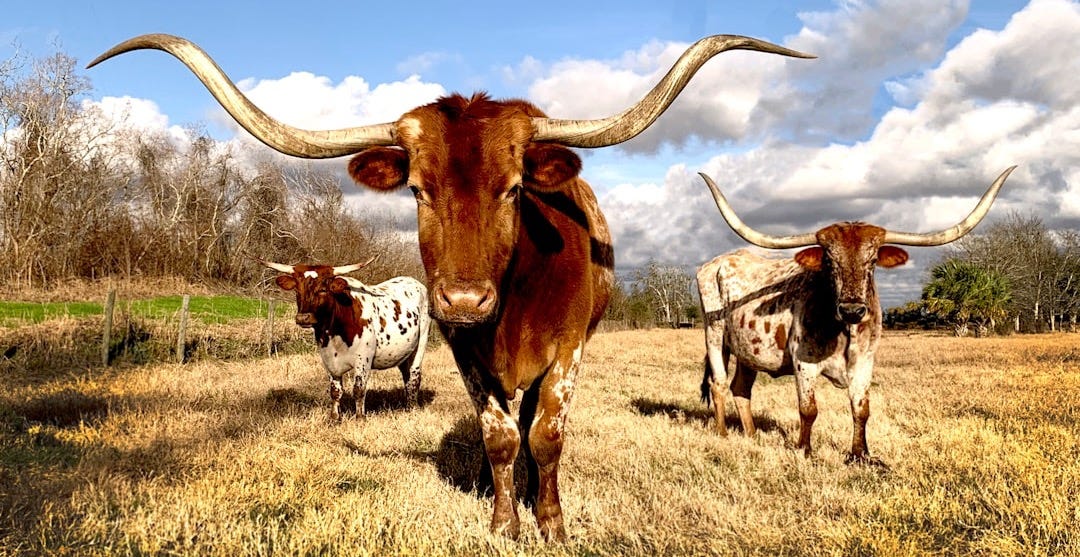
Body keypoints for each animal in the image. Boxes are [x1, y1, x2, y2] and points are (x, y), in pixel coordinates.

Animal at [261, 258, 430, 421]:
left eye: (323, 289)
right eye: (297, 290)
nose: (303, 318)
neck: (334, 333)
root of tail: (414, 281)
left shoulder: (363, 359)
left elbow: (358, 389)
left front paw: (360, 418)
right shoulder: (328, 360)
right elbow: (335, 391)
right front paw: (335, 418)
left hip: (421, 342)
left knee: (414, 377)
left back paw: (413, 409)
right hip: (404, 353)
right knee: (407, 376)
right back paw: (408, 406)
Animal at [696, 166, 1016, 464]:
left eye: (872, 261)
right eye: (829, 261)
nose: (852, 310)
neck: (842, 330)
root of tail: (717, 262)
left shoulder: (865, 362)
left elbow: (861, 409)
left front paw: (860, 455)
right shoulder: (803, 363)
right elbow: (808, 409)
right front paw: (804, 450)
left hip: (747, 352)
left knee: (741, 388)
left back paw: (751, 435)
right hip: (714, 334)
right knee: (719, 383)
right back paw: (722, 433)